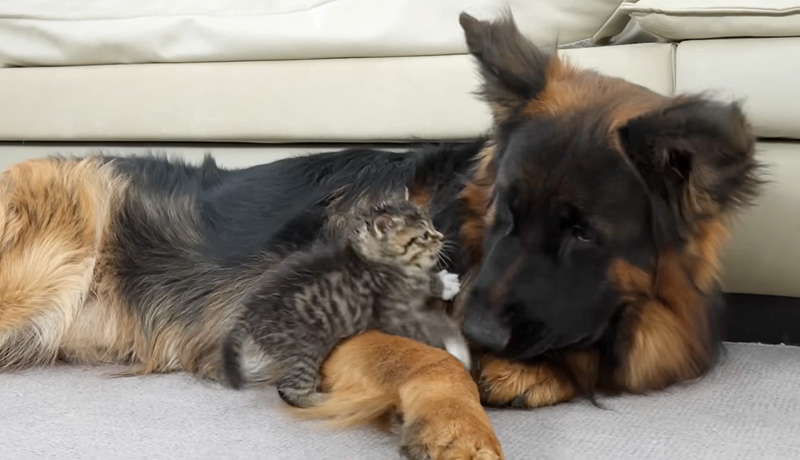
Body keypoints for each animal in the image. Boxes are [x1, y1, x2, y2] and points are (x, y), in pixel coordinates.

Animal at [220, 199, 468, 408]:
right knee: (292, 390)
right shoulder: (394, 314)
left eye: (433, 225)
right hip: (305, 349)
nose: (441, 236)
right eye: (424, 235)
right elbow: (436, 326)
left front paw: (444, 283)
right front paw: (459, 348)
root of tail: (248, 312)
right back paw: (327, 400)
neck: (376, 259)